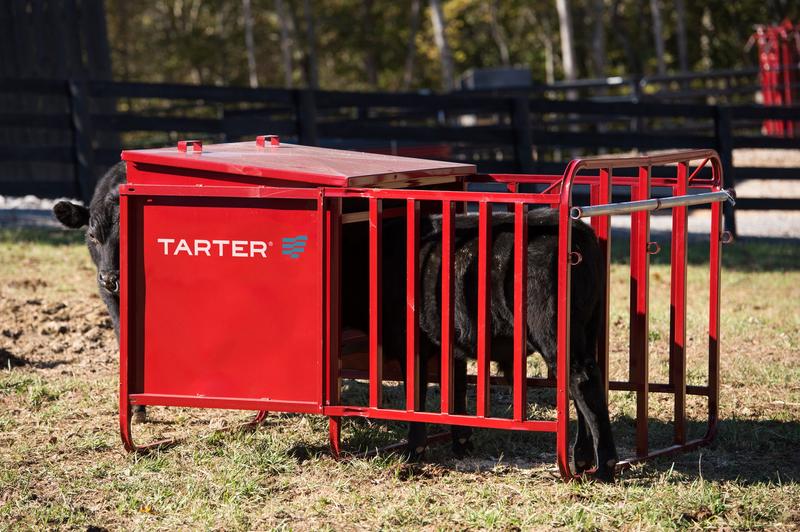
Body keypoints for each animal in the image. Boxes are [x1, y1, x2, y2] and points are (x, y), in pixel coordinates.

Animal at [341, 209, 618, 481]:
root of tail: (579, 231)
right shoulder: (452, 347)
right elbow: (457, 391)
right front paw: (462, 443)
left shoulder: (411, 345)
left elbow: (416, 397)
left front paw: (413, 451)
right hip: (587, 330)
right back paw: (582, 458)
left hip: (554, 335)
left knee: (582, 382)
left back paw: (604, 467)